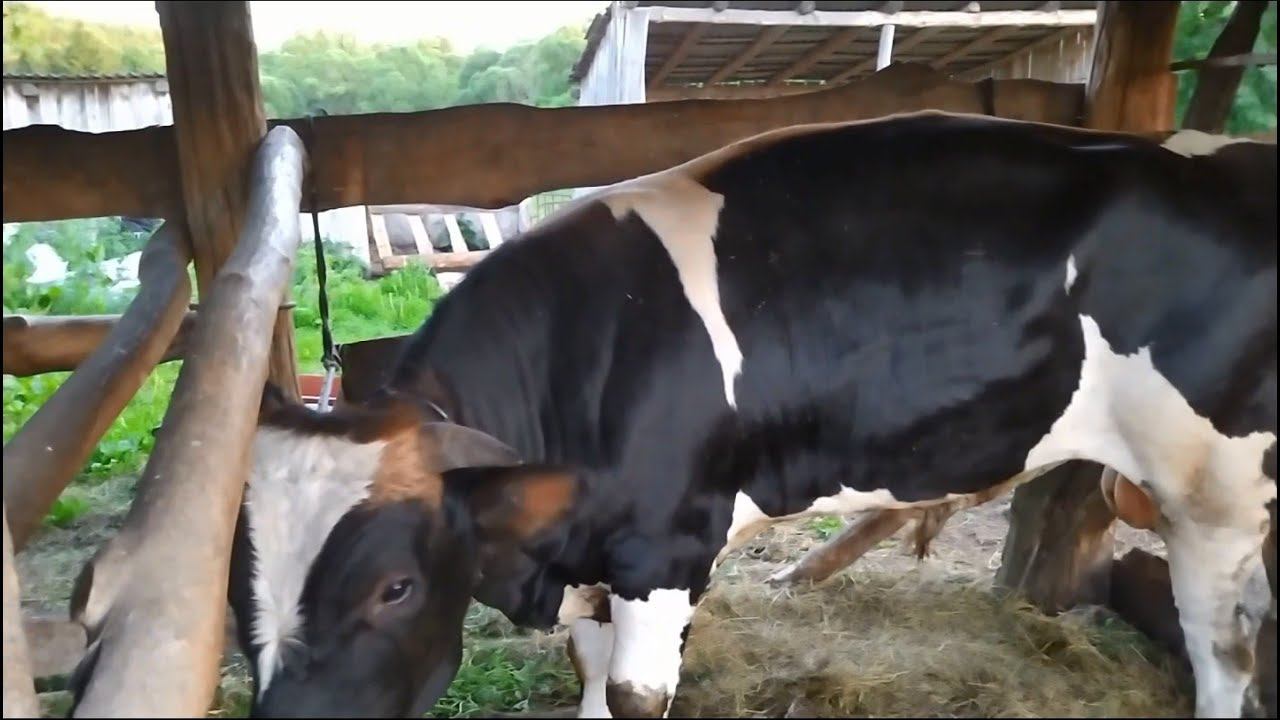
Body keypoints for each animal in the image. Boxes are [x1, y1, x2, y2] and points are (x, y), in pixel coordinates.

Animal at [211, 111, 1275, 718]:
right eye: (233, 588)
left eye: (393, 588)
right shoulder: (600, 558)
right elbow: (590, 675)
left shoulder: (664, 549)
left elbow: (634, 695)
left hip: (1211, 487)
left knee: (1223, 645)